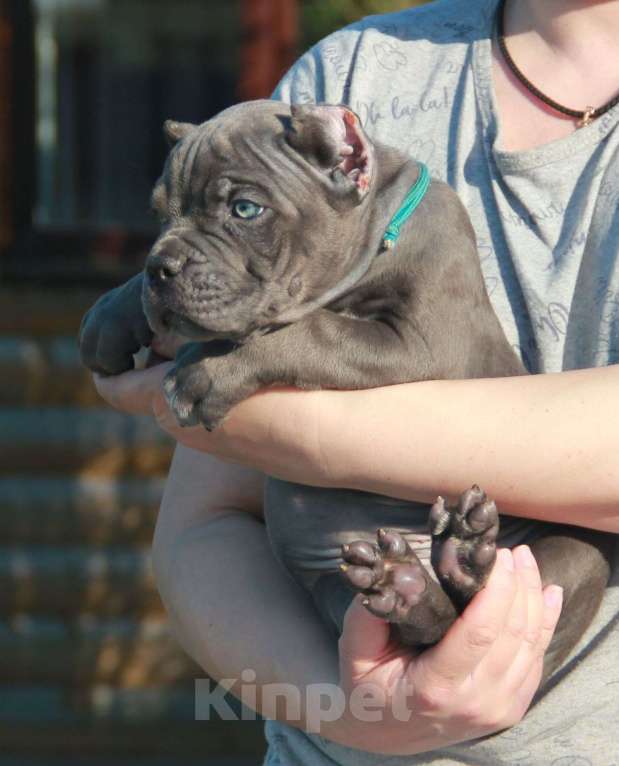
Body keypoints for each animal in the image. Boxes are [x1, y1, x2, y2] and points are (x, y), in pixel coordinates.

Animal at [81, 100, 616, 684]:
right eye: (159, 215)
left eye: (245, 209)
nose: (161, 266)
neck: (380, 230)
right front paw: (109, 318)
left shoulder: (423, 344)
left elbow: (311, 331)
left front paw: (206, 370)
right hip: (336, 586)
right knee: (421, 621)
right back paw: (410, 584)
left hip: (571, 558)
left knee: (474, 607)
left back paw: (464, 559)